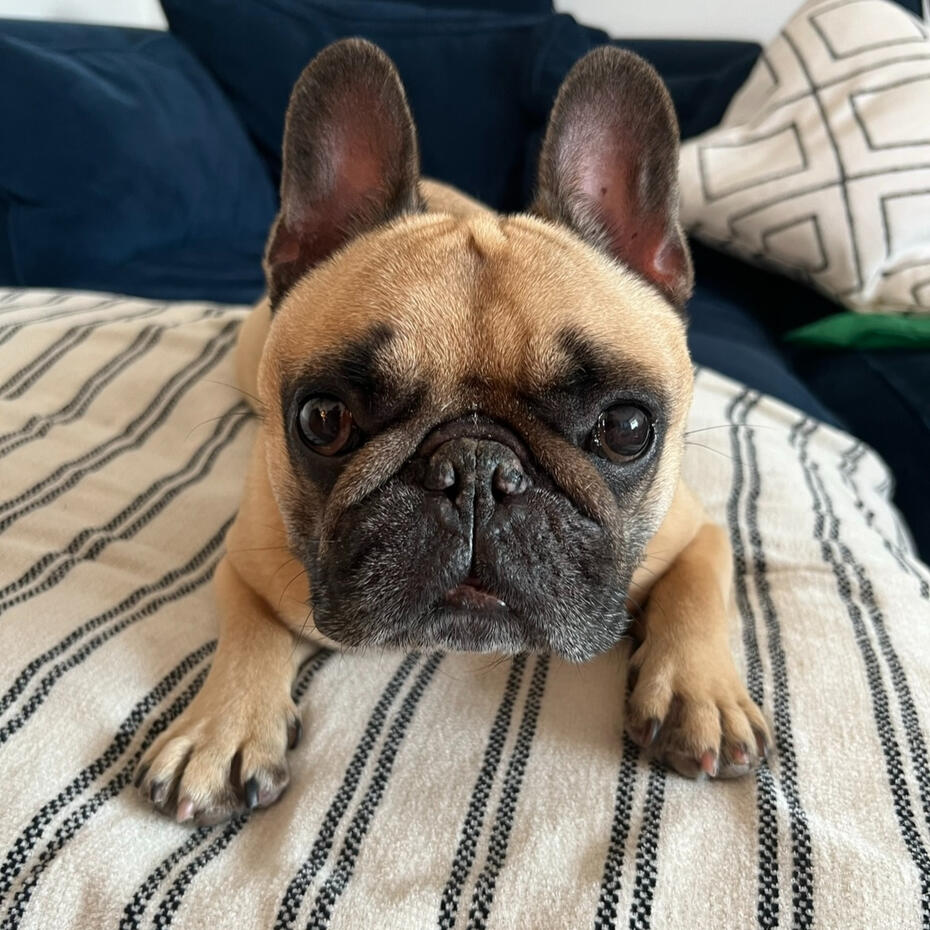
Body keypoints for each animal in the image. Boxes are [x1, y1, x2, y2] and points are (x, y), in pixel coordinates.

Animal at [135, 39, 771, 824]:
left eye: (626, 428)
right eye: (323, 419)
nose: (476, 470)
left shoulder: (695, 529)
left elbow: (699, 583)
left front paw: (696, 692)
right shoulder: (248, 558)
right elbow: (249, 629)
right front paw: (223, 728)